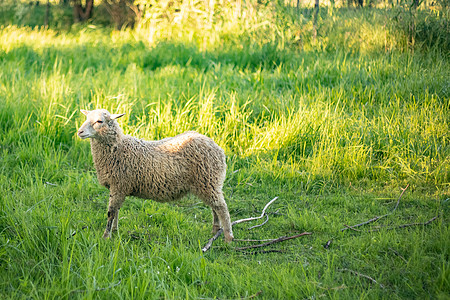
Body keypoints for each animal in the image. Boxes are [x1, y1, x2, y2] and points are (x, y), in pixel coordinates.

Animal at [77, 109, 234, 243]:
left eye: (99, 121)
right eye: (86, 118)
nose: (80, 132)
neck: (118, 148)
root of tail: (217, 147)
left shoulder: (119, 185)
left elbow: (110, 213)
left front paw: (106, 236)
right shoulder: (118, 187)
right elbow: (116, 211)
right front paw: (115, 231)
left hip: (209, 180)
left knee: (222, 208)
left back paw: (228, 238)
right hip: (208, 183)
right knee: (215, 207)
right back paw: (215, 230)